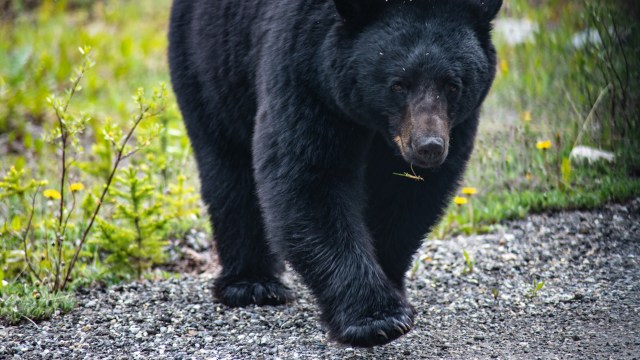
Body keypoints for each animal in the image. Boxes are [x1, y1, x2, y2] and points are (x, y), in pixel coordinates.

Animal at [168, 0, 502, 348]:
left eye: (453, 85)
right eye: (398, 84)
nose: (429, 147)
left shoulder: (455, 125)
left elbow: (405, 198)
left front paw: (390, 284)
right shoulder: (304, 72)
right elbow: (308, 178)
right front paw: (376, 318)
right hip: (211, 63)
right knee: (229, 170)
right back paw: (252, 284)